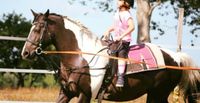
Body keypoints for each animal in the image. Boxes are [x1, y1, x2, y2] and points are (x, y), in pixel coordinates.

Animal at [21, 9, 199, 102]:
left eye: (39, 28)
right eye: (31, 27)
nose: (26, 52)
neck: (80, 58)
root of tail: (176, 58)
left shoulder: (85, 95)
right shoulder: (65, 93)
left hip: (158, 94)